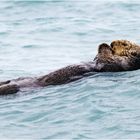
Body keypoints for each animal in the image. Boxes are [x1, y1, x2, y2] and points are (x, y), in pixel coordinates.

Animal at [0, 39, 140, 95]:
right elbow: (98, 58)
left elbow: (109, 60)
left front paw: (105, 47)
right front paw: (103, 45)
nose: (113, 43)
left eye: (124, 43)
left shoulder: (119, 65)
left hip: (14, 88)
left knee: (10, 88)